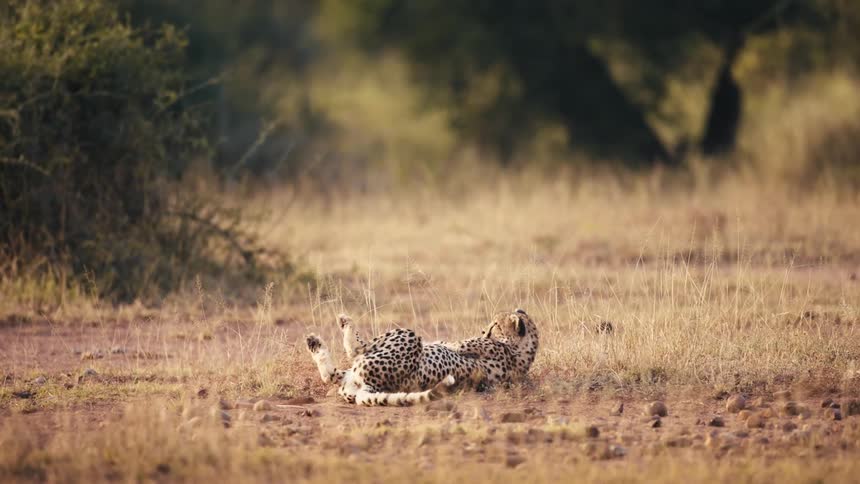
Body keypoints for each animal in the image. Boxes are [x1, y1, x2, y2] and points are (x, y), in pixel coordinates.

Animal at [304, 308, 539, 406]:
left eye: (495, 325)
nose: (484, 331)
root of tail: (367, 388)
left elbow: (454, 344)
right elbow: (444, 342)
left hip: (406, 337)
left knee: (354, 350)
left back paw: (342, 324)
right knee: (331, 375)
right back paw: (315, 343)